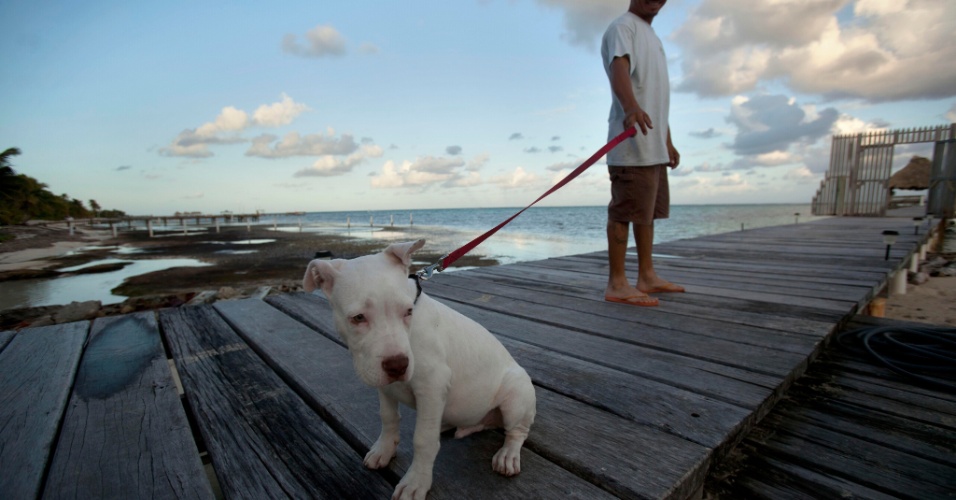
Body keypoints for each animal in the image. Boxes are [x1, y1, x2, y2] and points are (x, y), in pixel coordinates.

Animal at [302, 239, 536, 500]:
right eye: (358, 318)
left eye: (408, 312)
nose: (398, 365)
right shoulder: (384, 383)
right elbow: (388, 417)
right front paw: (384, 449)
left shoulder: (432, 385)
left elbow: (423, 440)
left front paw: (416, 481)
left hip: (516, 396)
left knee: (517, 431)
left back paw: (508, 455)